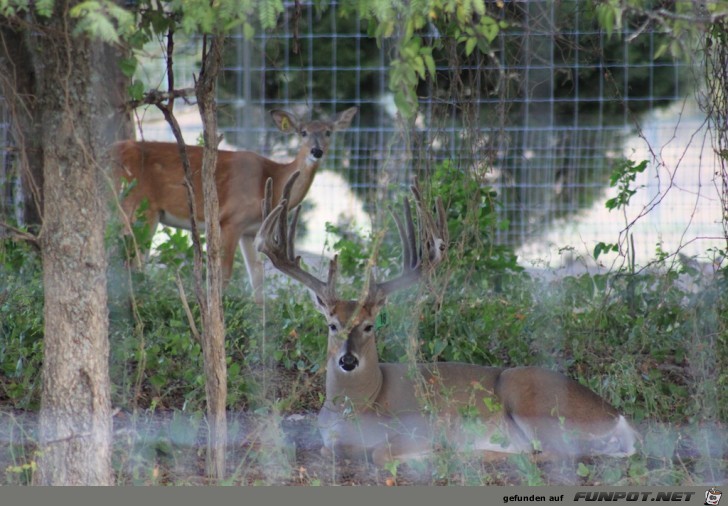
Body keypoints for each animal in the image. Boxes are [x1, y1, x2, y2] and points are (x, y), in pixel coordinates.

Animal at [109, 106, 356, 302]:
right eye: (303, 132)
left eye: (328, 132)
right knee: (131, 262)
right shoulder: (230, 220)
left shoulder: (251, 231)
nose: (317, 151)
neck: (274, 179)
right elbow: (224, 275)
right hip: (138, 207)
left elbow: (257, 278)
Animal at [255, 173, 636, 466]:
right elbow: (327, 448)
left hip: (530, 399)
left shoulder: (417, 426)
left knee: (554, 454)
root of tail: (619, 419)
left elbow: (379, 453)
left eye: (369, 325)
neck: (359, 405)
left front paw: (430, 451)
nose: (348, 360)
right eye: (332, 325)